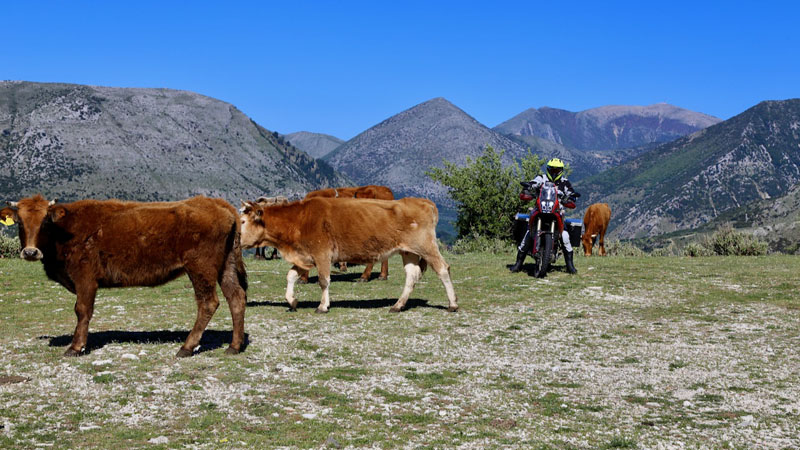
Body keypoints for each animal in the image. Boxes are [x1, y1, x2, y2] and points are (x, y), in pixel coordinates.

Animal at [5, 194, 247, 357]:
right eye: (19, 221)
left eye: (46, 221)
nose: (30, 252)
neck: (65, 232)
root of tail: (216, 203)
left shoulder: (85, 278)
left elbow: (82, 310)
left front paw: (76, 347)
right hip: (226, 267)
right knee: (236, 297)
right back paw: (234, 346)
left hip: (200, 268)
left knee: (208, 302)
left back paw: (187, 347)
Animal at [239, 196, 459, 313]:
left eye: (242, 221)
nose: (235, 237)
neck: (298, 220)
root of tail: (423, 202)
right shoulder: (305, 256)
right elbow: (291, 276)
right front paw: (292, 301)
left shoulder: (321, 254)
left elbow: (323, 280)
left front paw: (322, 306)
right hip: (409, 251)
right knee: (411, 275)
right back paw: (397, 305)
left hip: (426, 246)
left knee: (443, 269)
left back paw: (453, 304)